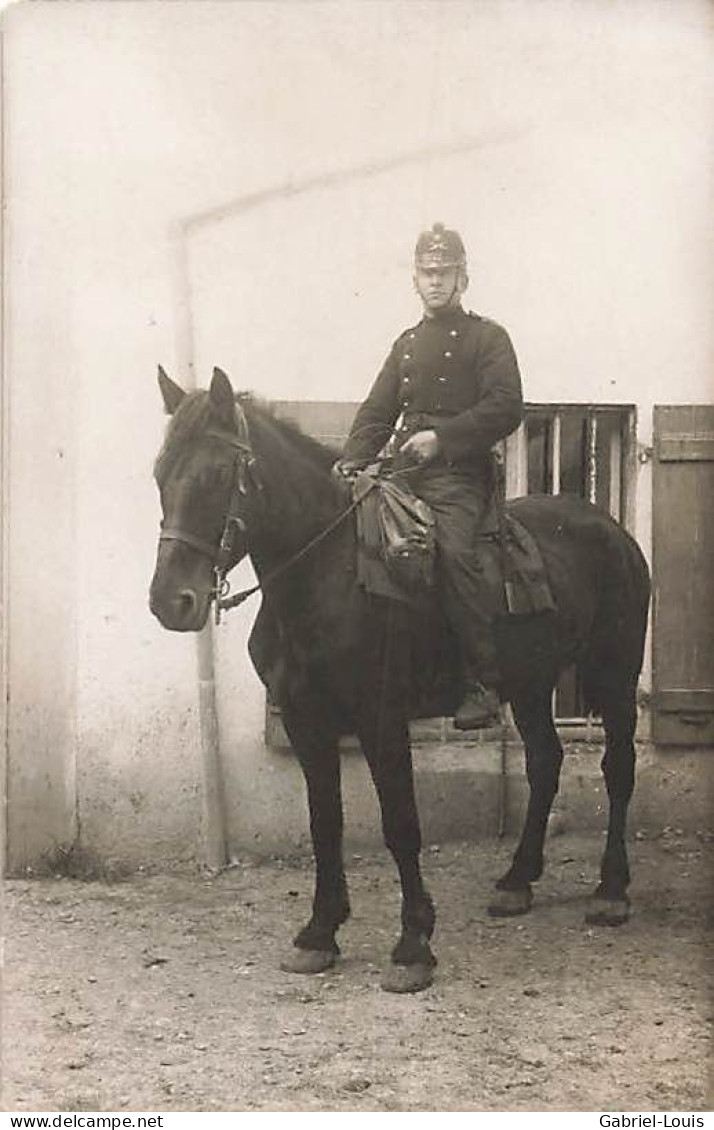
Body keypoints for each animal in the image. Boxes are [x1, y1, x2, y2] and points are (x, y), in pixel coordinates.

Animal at [150, 368, 650, 989]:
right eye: (159, 473)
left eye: (218, 474)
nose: (170, 602)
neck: (330, 573)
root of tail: (613, 531)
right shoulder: (307, 722)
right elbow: (325, 822)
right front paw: (320, 932)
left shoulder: (381, 719)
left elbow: (401, 824)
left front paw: (413, 943)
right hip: (531, 685)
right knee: (545, 761)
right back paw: (517, 880)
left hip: (614, 676)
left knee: (618, 768)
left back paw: (611, 890)